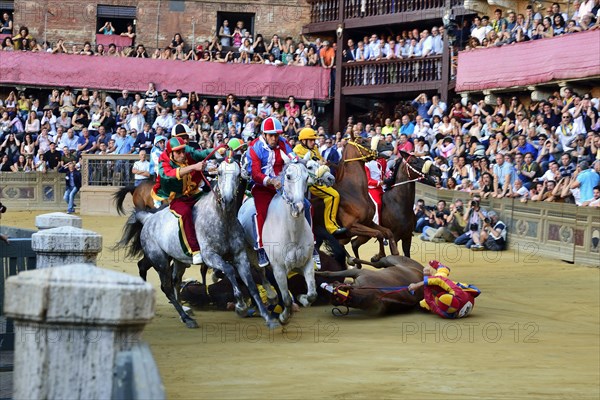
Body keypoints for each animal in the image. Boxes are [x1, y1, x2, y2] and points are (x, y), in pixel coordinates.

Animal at [116, 155, 280, 328]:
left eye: (238, 175)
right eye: (219, 173)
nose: (227, 200)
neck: (223, 219)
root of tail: (148, 218)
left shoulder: (240, 255)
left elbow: (251, 284)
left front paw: (268, 316)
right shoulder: (210, 256)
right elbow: (229, 270)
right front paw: (241, 306)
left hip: (178, 260)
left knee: (175, 281)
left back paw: (184, 313)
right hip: (159, 260)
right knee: (164, 285)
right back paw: (185, 317)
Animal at [238, 153, 318, 324]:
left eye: (307, 177)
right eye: (288, 176)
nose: (298, 207)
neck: (292, 233)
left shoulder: (307, 262)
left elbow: (312, 294)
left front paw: (302, 298)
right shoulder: (279, 269)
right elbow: (286, 298)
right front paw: (283, 316)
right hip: (251, 252)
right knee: (260, 271)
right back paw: (271, 296)